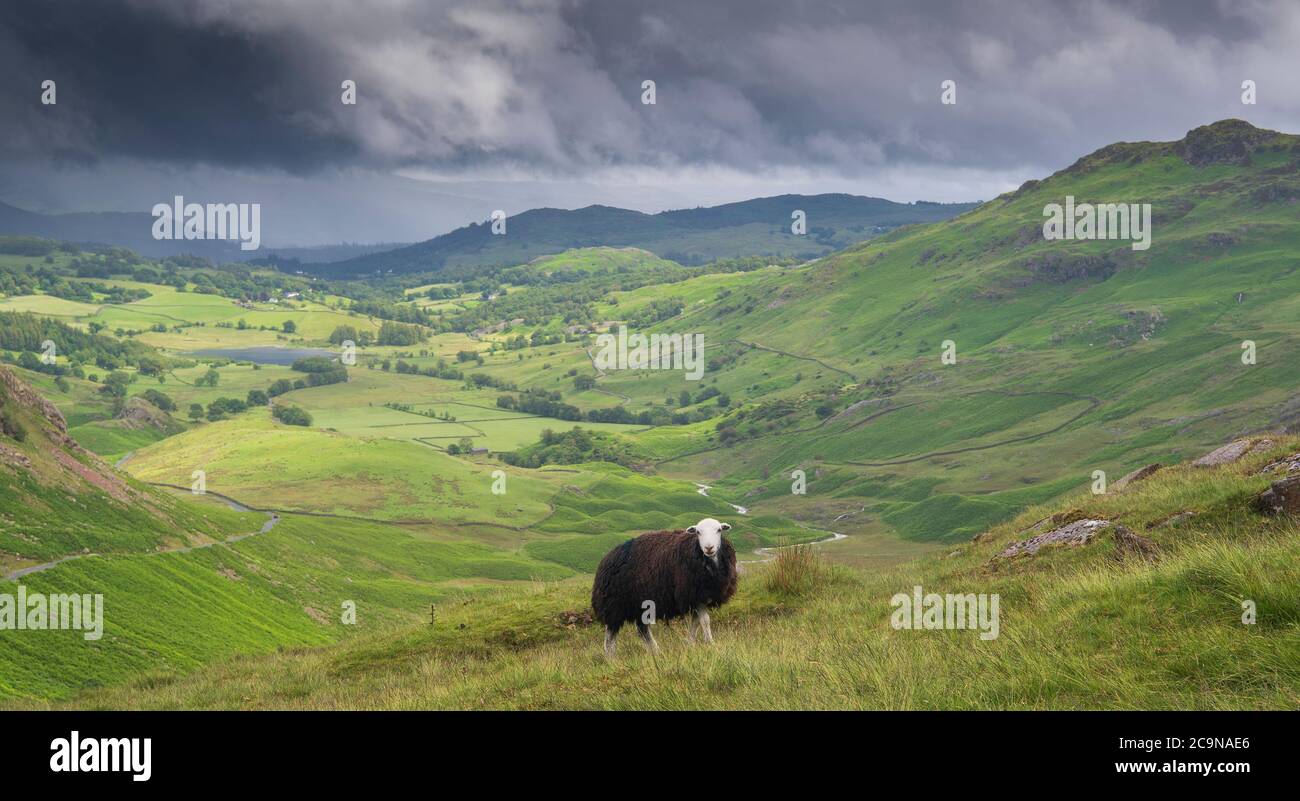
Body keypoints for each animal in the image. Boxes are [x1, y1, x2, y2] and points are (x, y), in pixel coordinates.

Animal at [592, 520, 738, 657]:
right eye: (698, 532)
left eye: (719, 530)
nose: (709, 547)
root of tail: (606, 559)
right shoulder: (693, 596)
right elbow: (705, 621)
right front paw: (711, 644)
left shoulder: (699, 598)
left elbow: (696, 622)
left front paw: (691, 643)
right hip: (614, 604)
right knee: (611, 633)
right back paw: (611, 656)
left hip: (638, 604)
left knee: (642, 629)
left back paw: (655, 651)